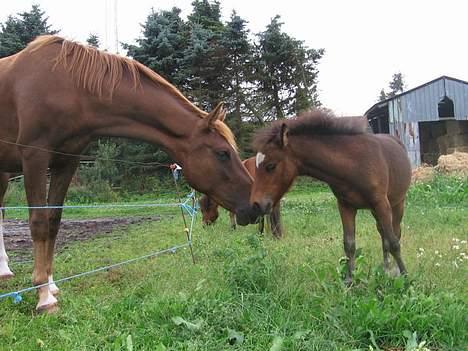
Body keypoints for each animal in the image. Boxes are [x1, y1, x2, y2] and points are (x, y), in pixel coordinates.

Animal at [0, 35, 256, 314]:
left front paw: (51, 283)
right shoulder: (35, 157)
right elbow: (38, 222)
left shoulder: (67, 162)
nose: (255, 205)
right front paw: (44, 296)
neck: (68, 86)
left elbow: (53, 221)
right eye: (223, 153)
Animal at [252, 111, 410, 284]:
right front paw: (349, 281)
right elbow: (349, 244)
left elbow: (394, 242)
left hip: (396, 203)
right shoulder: (346, 206)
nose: (257, 204)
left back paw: (393, 269)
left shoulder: (381, 203)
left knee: (395, 233)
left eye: (271, 166)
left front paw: (406, 277)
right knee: (382, 233)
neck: (354, 163)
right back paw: (386, 268)